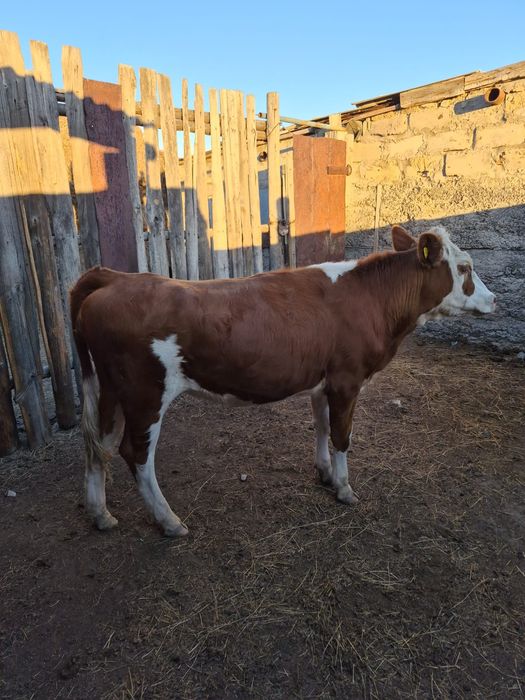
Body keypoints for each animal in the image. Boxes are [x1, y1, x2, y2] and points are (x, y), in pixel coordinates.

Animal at [70, 225, 496, 537]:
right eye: (464, 268)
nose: (493, 300)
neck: (373, 300)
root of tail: (113, 277)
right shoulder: (347, 380)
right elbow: (343, 436)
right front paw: (345, 488)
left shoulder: (324, 382)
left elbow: (321, 427)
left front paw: (325, 474)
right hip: (145, 394)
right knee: (135, 455)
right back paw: (169, 521)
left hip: (111, 391)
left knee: (98, 445)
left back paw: (100, 514)